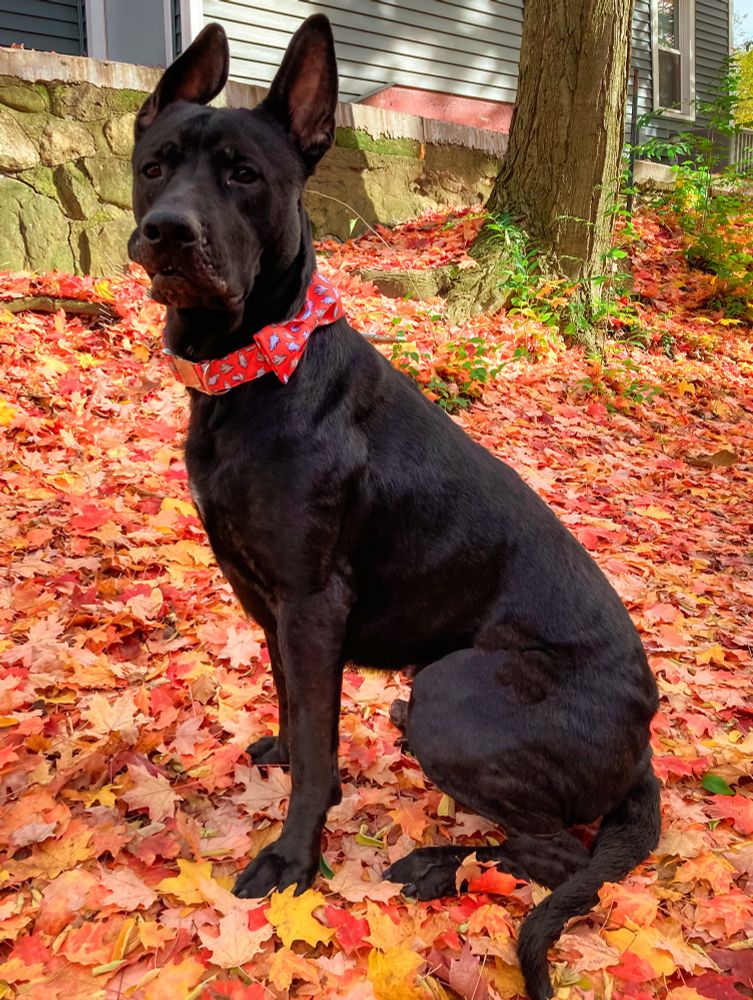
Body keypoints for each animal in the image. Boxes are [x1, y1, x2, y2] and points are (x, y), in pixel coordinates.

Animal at [128, 16, 660, 999]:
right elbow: (300, 717)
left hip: (447, 692)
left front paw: (293, 860)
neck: (253, 368)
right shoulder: (269, 602)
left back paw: (438, 864)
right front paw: (290, 760)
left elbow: (315, 744)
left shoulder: (311, 602)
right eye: (154, 165)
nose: (168, 231)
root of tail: (643, 748)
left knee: (557, 855)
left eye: (244, 176)